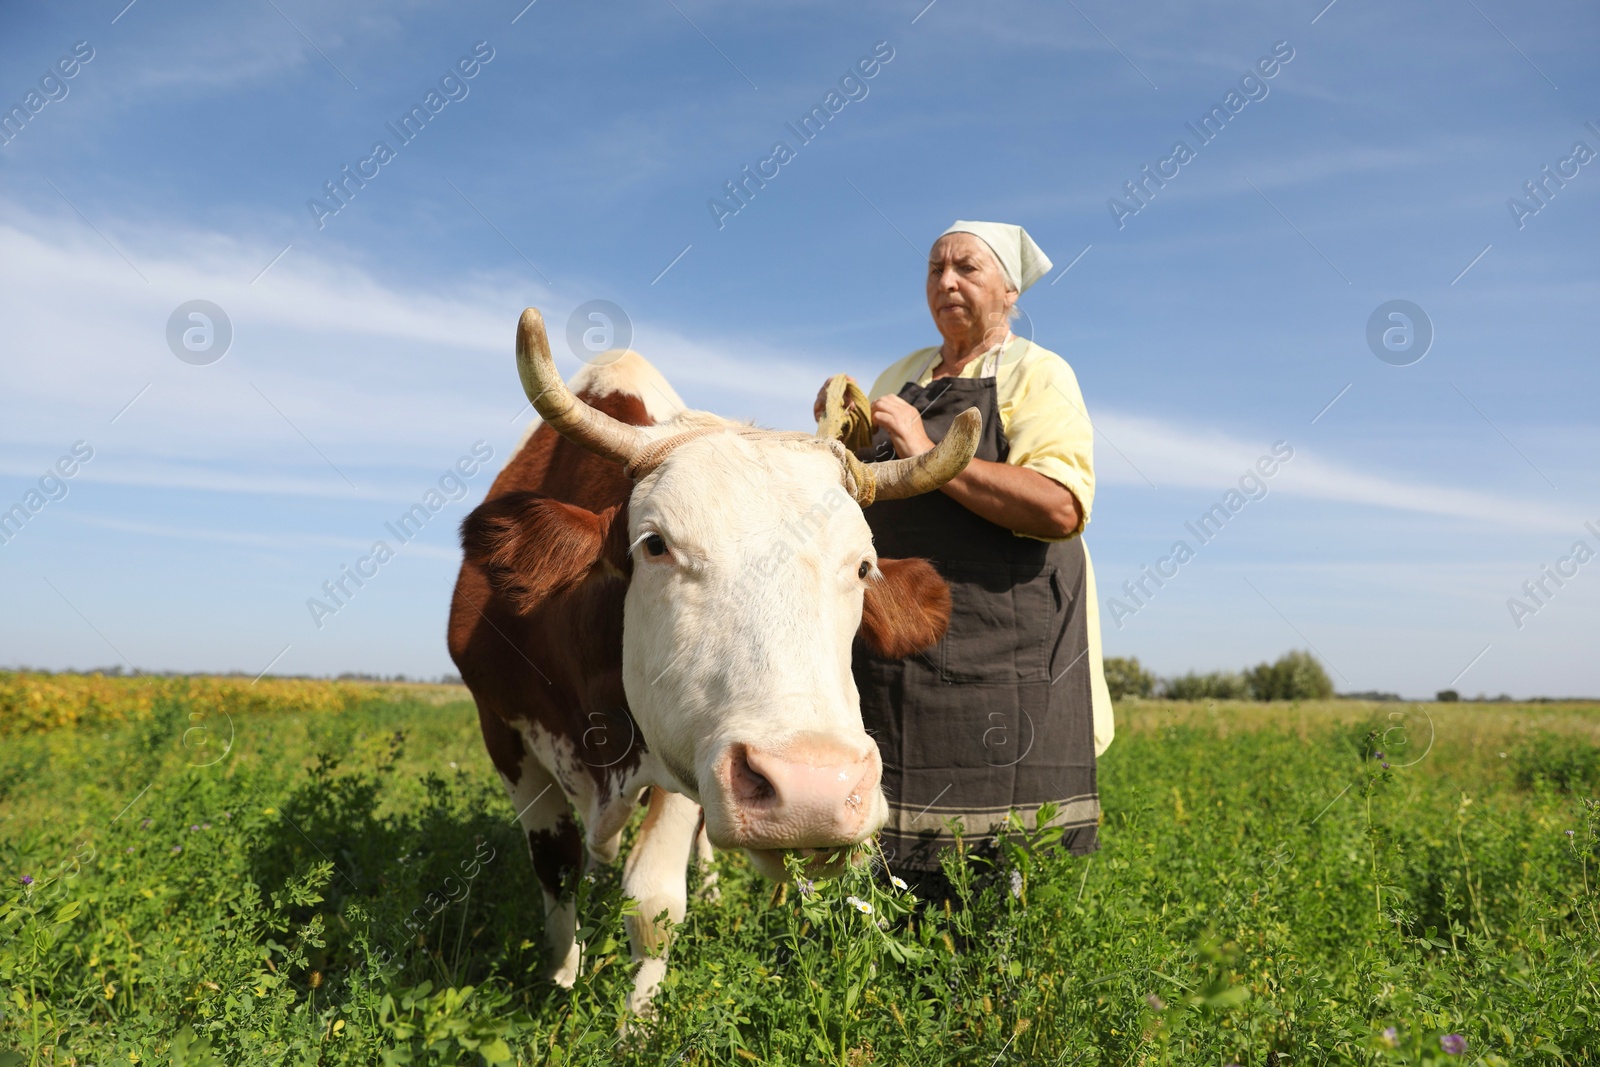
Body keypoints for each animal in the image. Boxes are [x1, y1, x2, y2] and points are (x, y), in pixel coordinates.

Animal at [444, 310, 979, 1017]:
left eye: (864, 567)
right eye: (654, 545)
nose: (813, 790)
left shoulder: (685, 755)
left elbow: (653, 904)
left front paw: (638, 1022)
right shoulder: (500, 727)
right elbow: (555, 865)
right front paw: (560, 977)